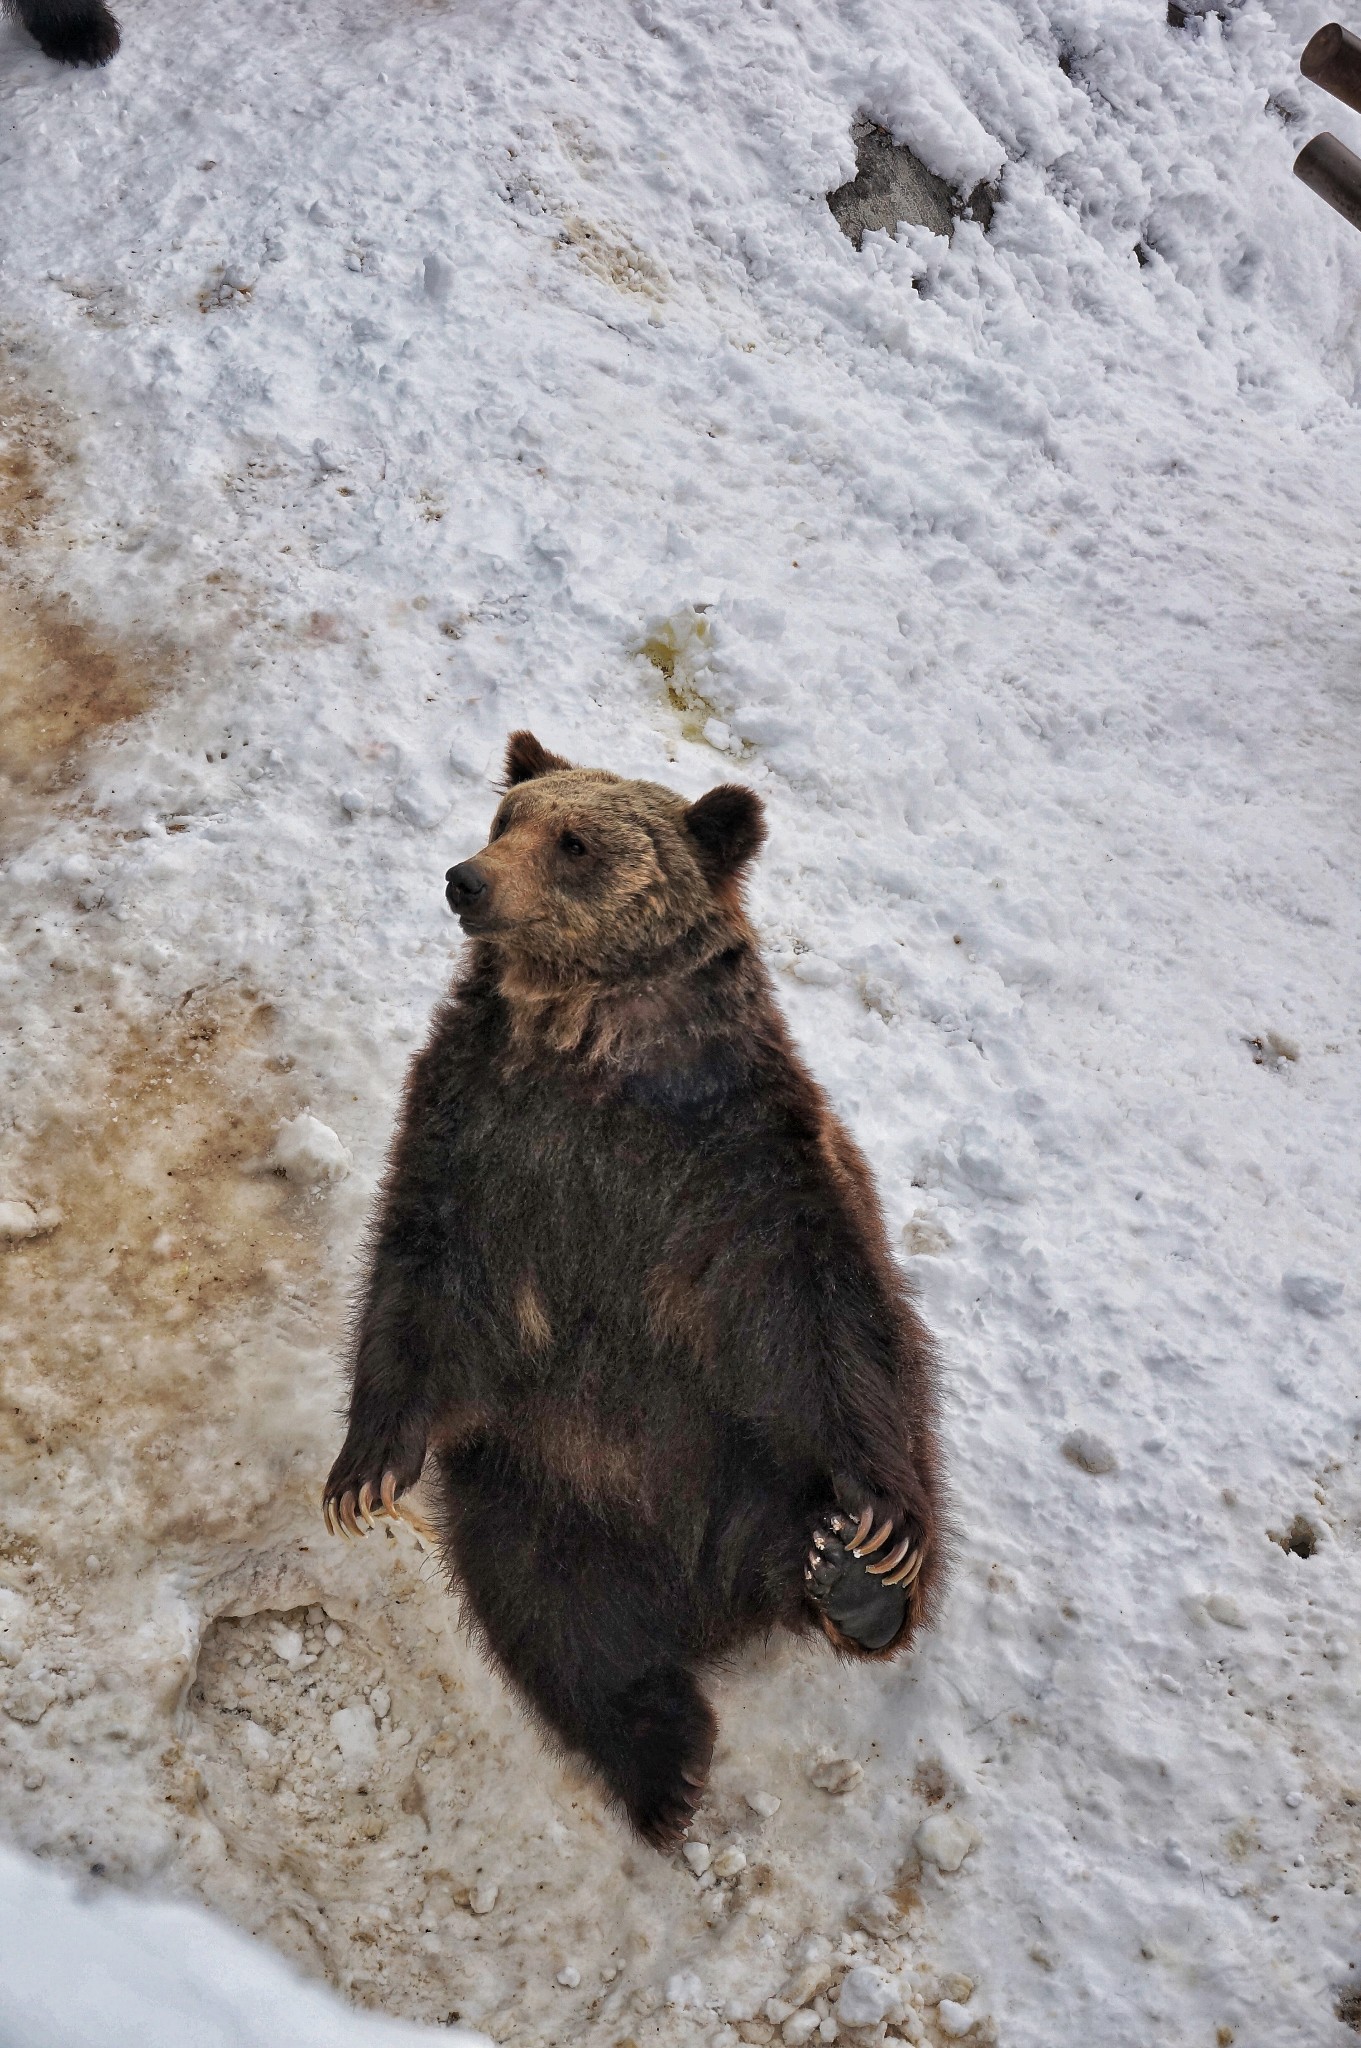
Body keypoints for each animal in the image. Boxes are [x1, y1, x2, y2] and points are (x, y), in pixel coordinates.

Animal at [327, 733, 945, 1843]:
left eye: (574, 842)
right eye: (507, 819)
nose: (466, 878)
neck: (592, 1045)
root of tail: (710, 1589)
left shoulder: (738, 1155)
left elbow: (824, 1314)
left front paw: (876, 1529)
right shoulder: (476, 1128)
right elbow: (419, 1273)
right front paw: (362, 1472)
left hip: (747, 1462)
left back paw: (853, 1583)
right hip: (535, 1486)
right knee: (554, 1617)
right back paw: (660, 1760)